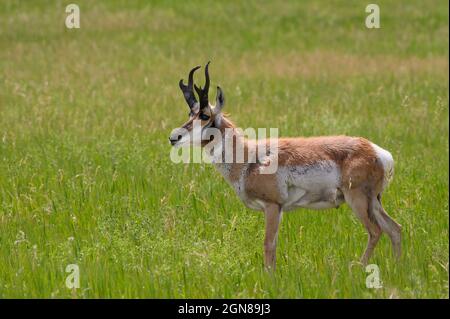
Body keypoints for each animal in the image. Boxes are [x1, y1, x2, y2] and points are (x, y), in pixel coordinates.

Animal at [171, 62, 402, 270]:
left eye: (204, 115)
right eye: (189, 114)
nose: (173, 137)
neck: (249, 157)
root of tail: (376, 151)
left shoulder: (273, 206)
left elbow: (268, 245)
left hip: (358, 199)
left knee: (376, 231)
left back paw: (358, 268)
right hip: (374, 201)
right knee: (395, 229)